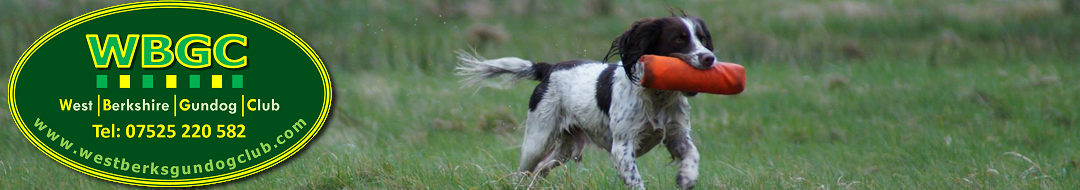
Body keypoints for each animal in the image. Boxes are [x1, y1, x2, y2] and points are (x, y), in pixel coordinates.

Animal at [457, 15, 717, 188]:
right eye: (678, 39)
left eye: (703, 38)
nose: (710, 58)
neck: (657, 96)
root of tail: (549, 68)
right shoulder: (622, 147)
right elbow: (636, 180)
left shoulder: (676, 135)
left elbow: (693, 153)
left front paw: (687, 177)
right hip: (537, 139)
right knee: (523, 172)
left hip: (565, 148)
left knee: (540, 169)